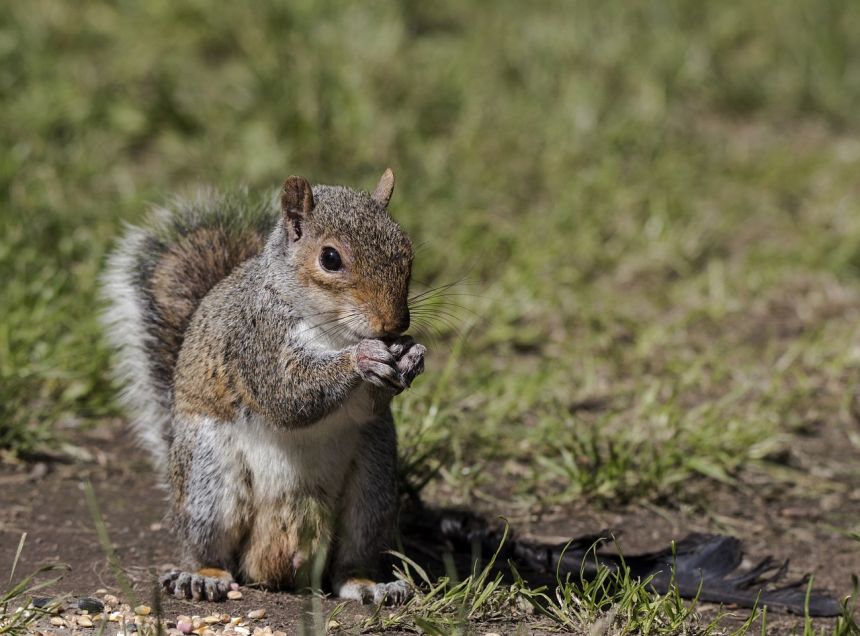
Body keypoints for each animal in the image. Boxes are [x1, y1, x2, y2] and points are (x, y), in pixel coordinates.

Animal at [100, 169, 426, 608]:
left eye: (406, 250)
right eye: (330, 258)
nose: (394, 325)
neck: (332, 331)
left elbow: (369, 404)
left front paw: (412, 355)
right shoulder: (255, 340)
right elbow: (286, 395)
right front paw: (363, 357)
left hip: (372, 486)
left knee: (349, 565)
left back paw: (370, 584)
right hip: (209, 481)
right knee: (210, 548)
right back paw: (203, 576)